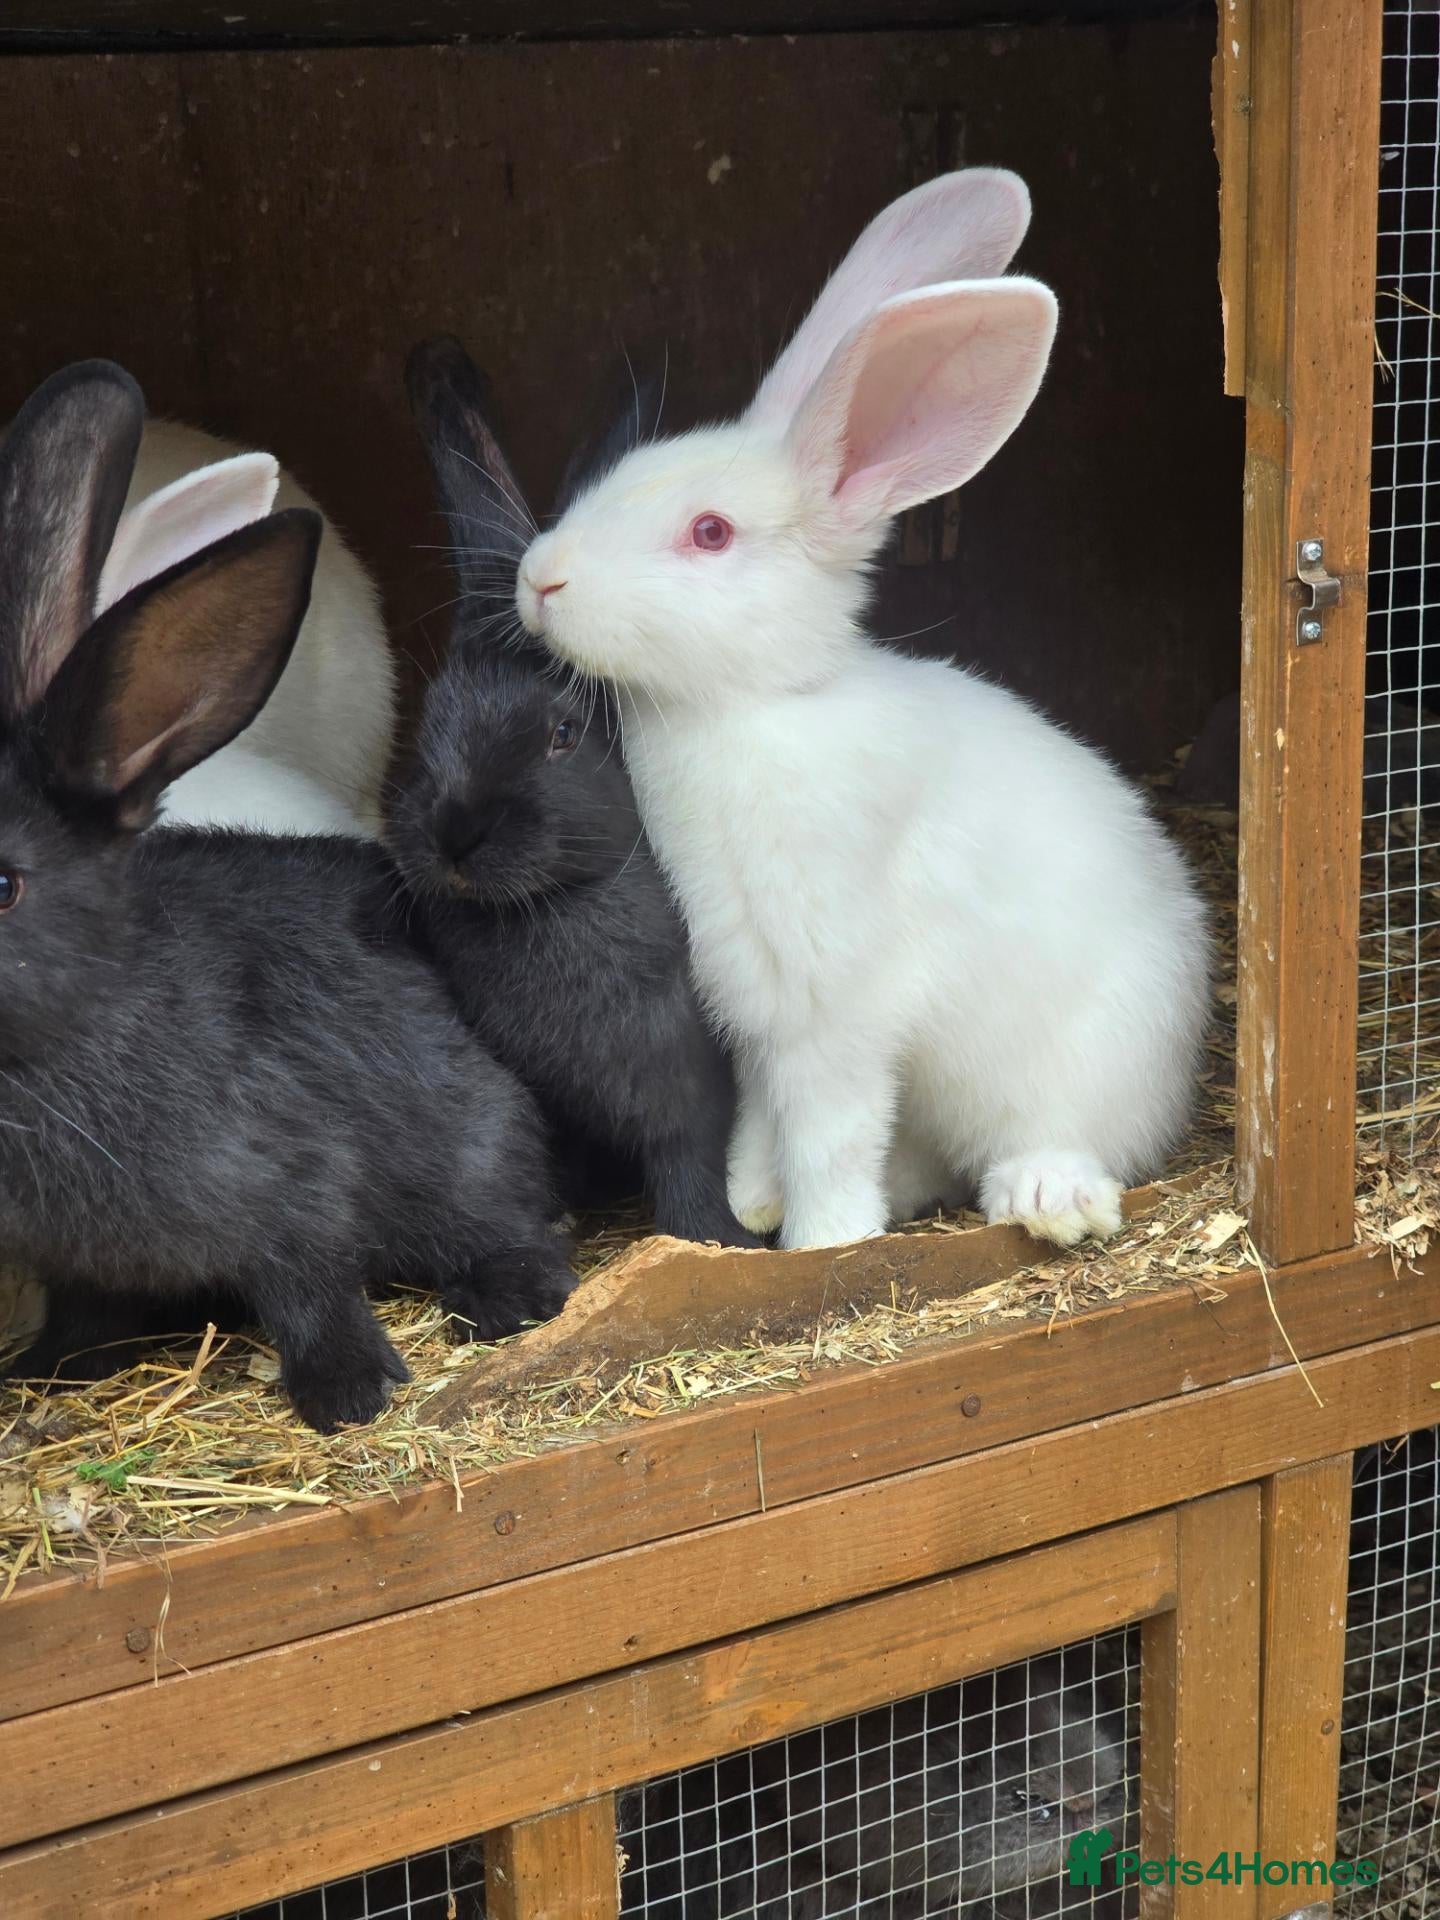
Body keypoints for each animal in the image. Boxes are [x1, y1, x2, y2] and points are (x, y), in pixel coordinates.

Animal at [389, 337, 757, 1247]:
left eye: (562, 733)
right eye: (432, 717)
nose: (453, 835)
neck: (556, 903)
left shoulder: (688, 1085)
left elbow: (689, 1160)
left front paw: (712, 1238)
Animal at [512, 167, 1211, 1251]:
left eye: (710, 533)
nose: (538, 579)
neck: (747, 708)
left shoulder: (830, 1005)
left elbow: (829, 1129)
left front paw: (821, 1239)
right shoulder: (750, 998)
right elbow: (763, 1115)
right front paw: (754, 1200)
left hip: (1085, 1062)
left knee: (1071, 1137)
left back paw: (1045, 1197)